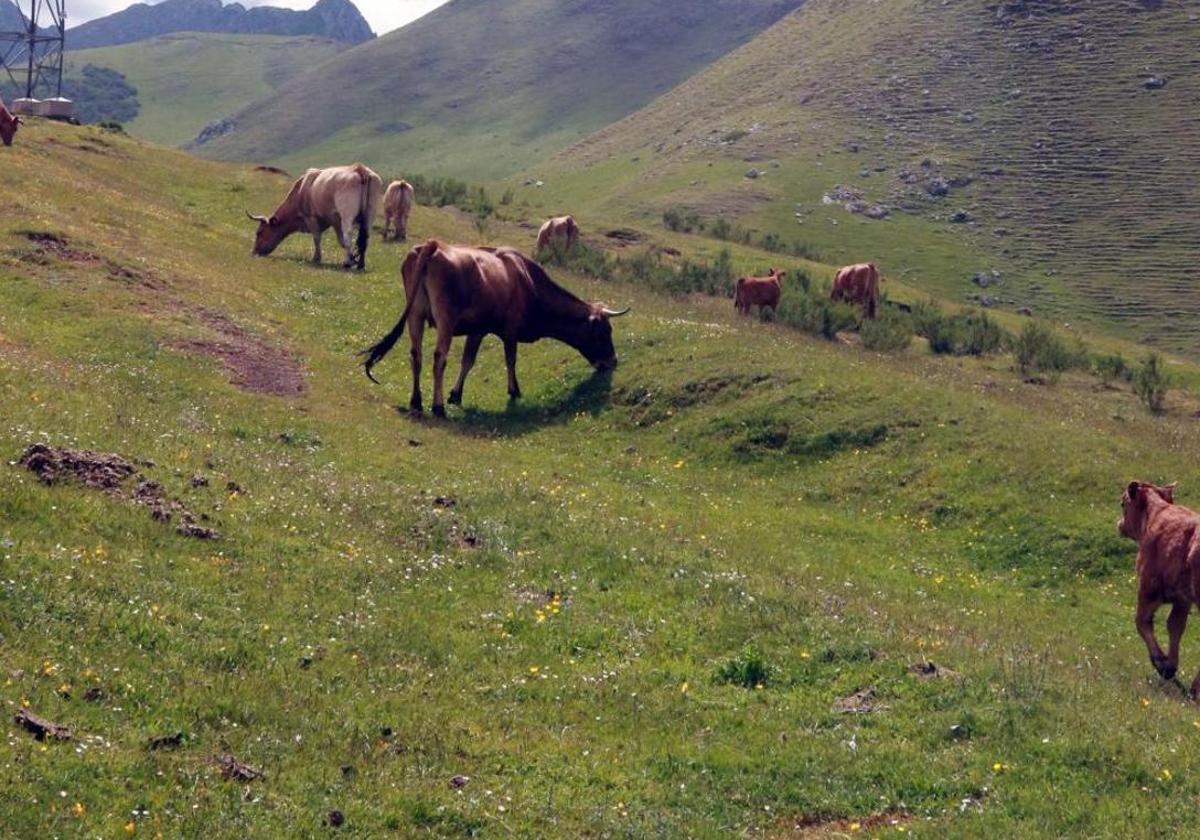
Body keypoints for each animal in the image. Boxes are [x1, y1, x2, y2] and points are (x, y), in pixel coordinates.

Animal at [248, 163, 384, 268]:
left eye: (259, 232)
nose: (254, 252)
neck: (301, 190)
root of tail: (359, 168)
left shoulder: (311, 218)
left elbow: (317, 238)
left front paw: (317, 258)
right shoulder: (335, 221)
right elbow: (341, 241)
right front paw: (353, 258)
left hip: (347, 214)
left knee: (348, 234)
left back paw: (346, 263)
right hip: (370, 213)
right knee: (365, 237)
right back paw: (361, 264)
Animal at [362, 240, 628, 417]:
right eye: (604, 332)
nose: (613, 361)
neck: (527, 280)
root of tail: (432, 246)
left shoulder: (478, 329)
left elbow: (468, 361)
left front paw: (456, 394)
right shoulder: (511, 328)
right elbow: (510, 359)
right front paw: (514, 390)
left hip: (415, 315)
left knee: (416, 355)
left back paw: (416, 401)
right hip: (446, 320)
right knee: (439, 358)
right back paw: (437, 407)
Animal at [1113, 480, 1200, 696]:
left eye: (1122, 503)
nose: (1120, 525)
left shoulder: (1148, 587)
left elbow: (1142, 621)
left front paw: (1163, 664)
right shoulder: (1183, 599)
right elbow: (1175, 625)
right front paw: (1170, 663)